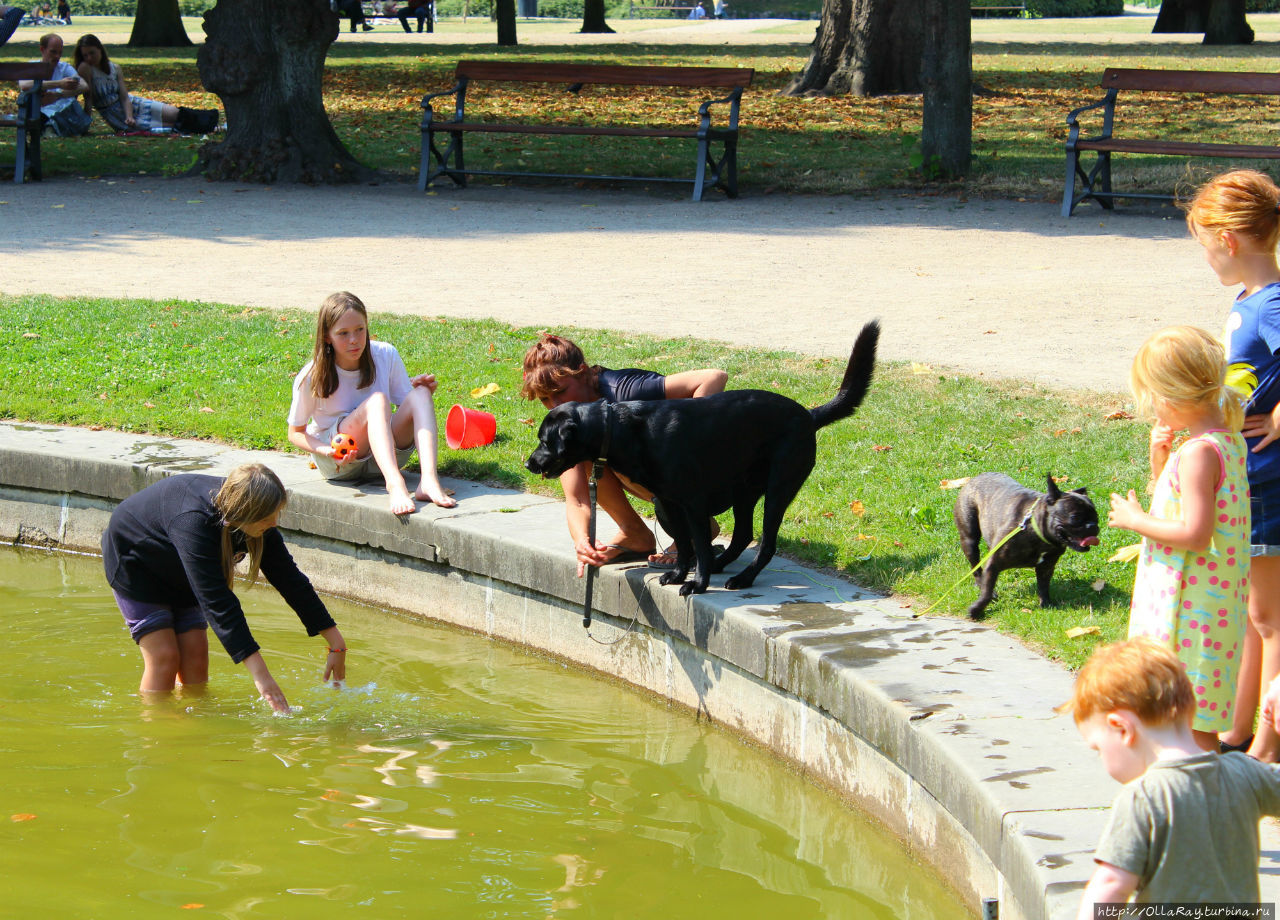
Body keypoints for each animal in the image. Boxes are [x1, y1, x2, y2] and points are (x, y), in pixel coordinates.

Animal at [522, 323, 880, 596]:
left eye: (545, 440)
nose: (529, 463)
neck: (618, 426)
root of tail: (808, 415)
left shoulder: (693, 503)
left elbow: (699, 544)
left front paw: (698, 584)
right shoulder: (669, 502)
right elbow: (685, 543)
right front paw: (680, 574)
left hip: (779, 487)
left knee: (765, 543)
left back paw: (742, 578)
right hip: (745, 491)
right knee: (742, 535)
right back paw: (725, 568)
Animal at [952, 475, 1100, 619]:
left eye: (1096, 517)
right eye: (1075, 517)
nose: (1092, 526)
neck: (1036, 530)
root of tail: (973, 479)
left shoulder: (1047, 566)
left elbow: (1043, 585)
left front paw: (1046, 603)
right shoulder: (994, 564)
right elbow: (987, 591)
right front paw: (977, 609)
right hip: (969, 539)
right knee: (976, 567)